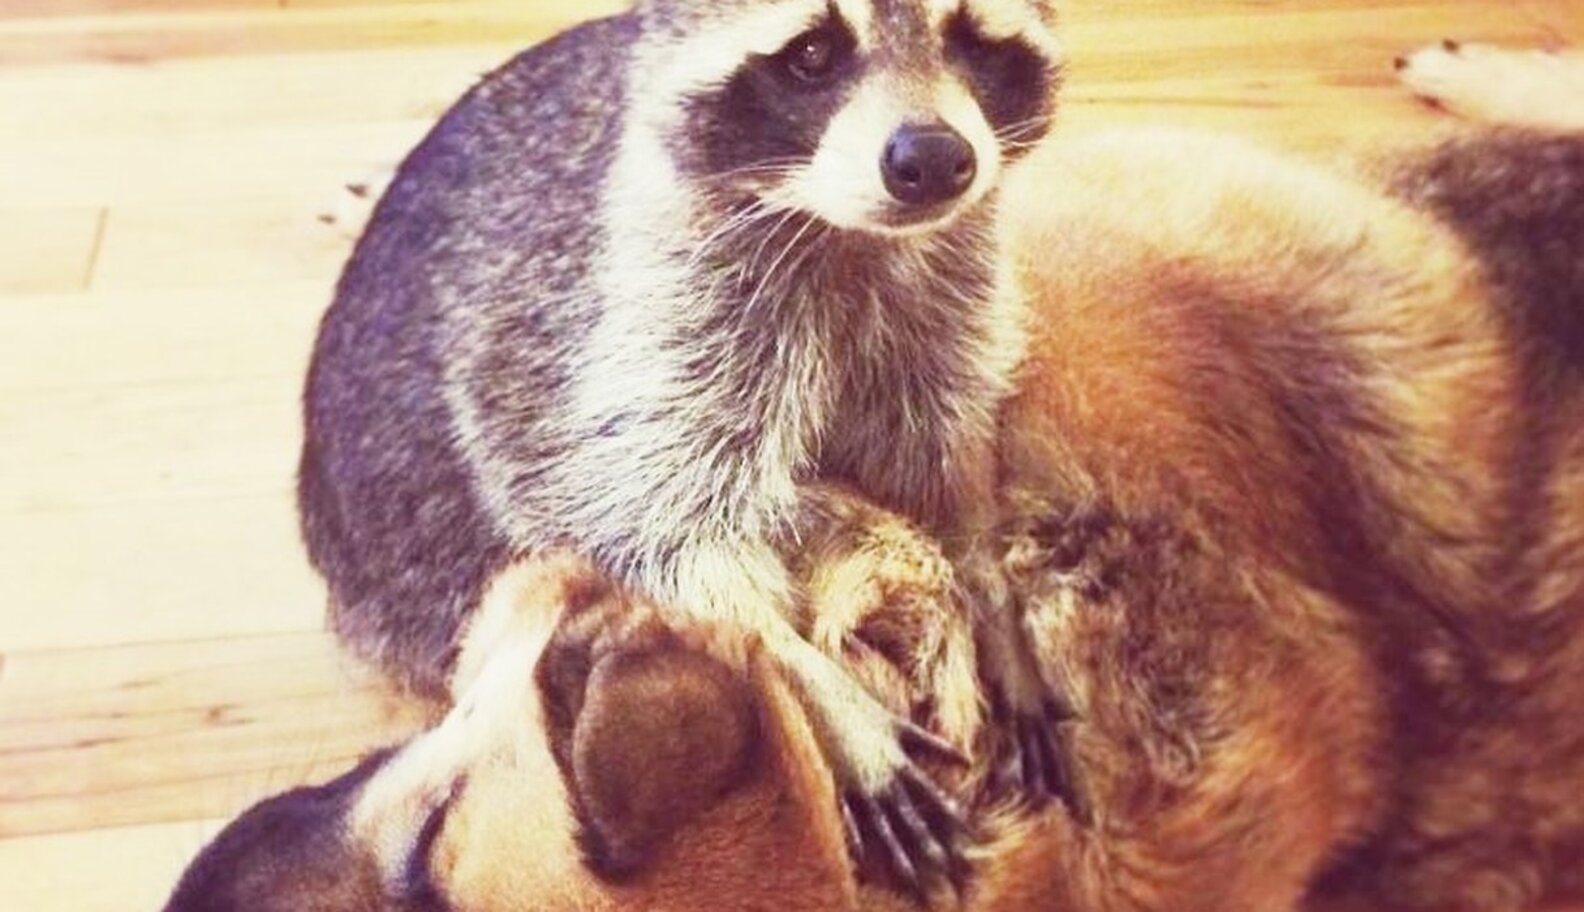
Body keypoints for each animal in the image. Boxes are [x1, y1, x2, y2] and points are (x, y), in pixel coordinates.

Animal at [298, 0, 1069, 883]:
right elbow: (648, 527)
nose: (934, 158)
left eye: (970, 37)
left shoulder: (948, 307)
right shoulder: (634, 319)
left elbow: (947, 462)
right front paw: (815, 686)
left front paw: (991, 595)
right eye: (813, 54)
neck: (847, 237)